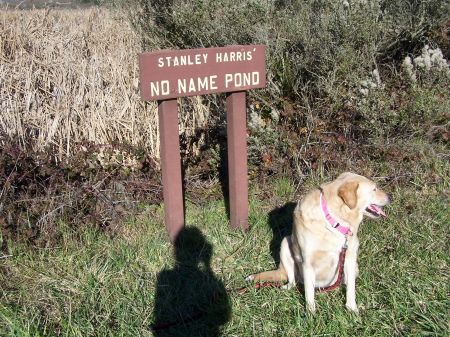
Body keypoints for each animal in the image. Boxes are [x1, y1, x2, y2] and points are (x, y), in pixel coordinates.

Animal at [246, 173, 390, 312]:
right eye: (374, 189)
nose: (390, 196)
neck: (333, 221)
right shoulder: (308, 262)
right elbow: (309, 293)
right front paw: (310, 314)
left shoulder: (349, 258)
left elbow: (351, 289)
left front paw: (352, 309)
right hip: (285, 243)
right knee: (293, 281)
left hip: (354, 267)